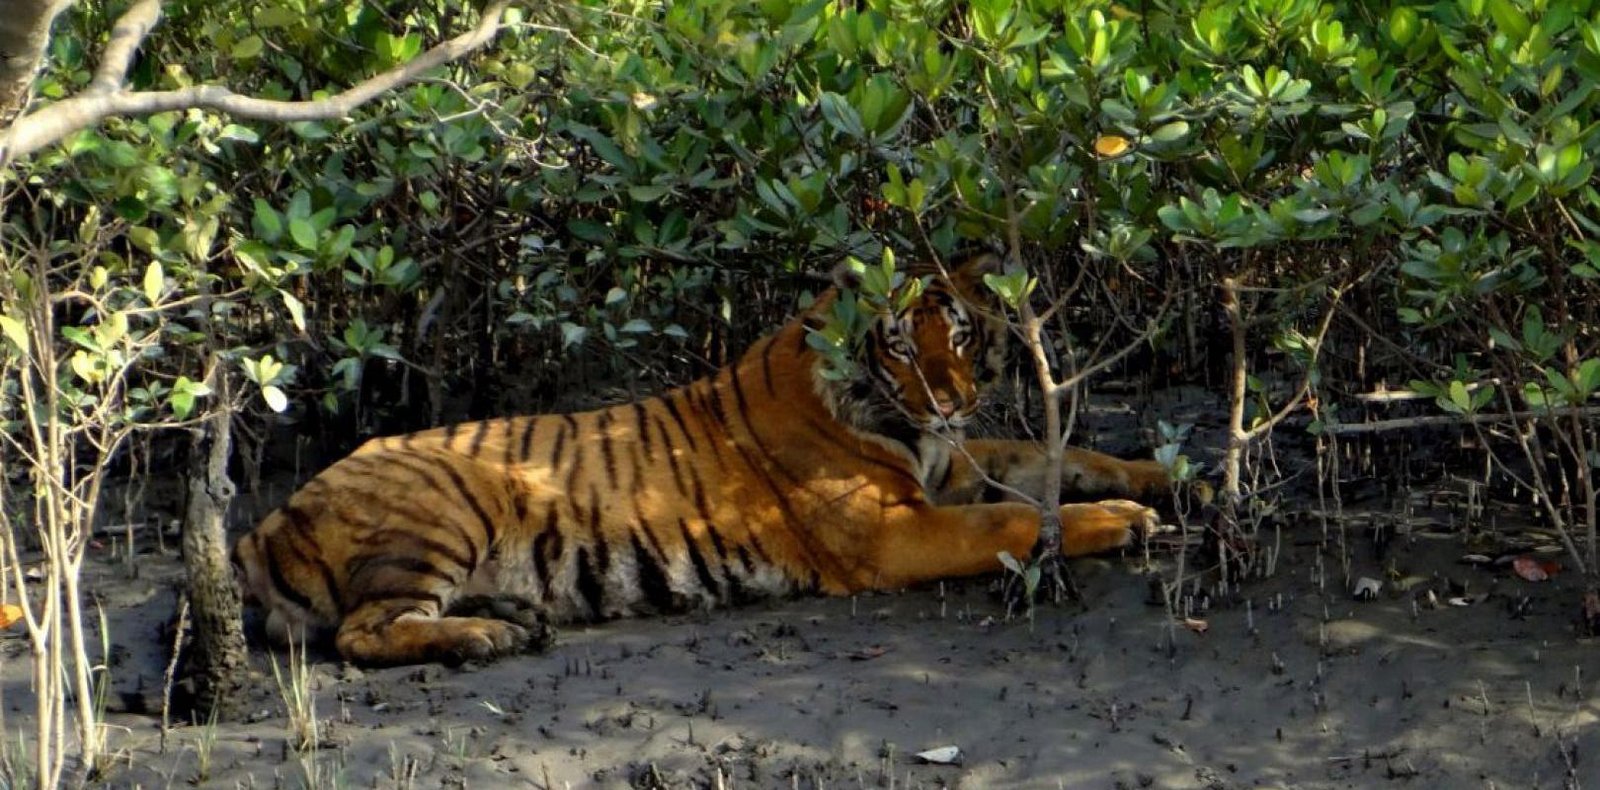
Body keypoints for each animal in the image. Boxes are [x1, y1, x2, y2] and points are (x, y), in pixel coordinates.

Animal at [232, 252, 1171, 665]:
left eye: (963, 335)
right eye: (904, 345)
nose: (950, 400)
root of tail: (263, 523)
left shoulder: (951, 466)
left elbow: (1045, 456)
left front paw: (1153, 477)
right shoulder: (895, 532)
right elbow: (1014, 516)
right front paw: (1128, 520)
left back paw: (514, 615)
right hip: (444, 510)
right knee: (360, 633)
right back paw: (487, 637)